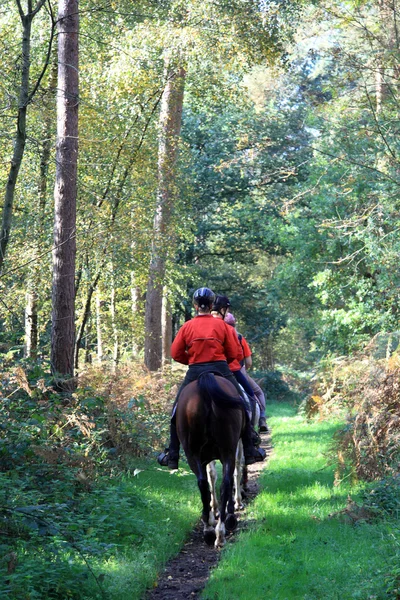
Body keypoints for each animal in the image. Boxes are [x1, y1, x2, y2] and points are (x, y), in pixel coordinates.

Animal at [177, 372, 245, 548]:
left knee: (204, 484)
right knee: (225, 482)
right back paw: (221, 529)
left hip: (194, 454)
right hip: (226, 450)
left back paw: (211, 530)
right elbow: (219, 476)